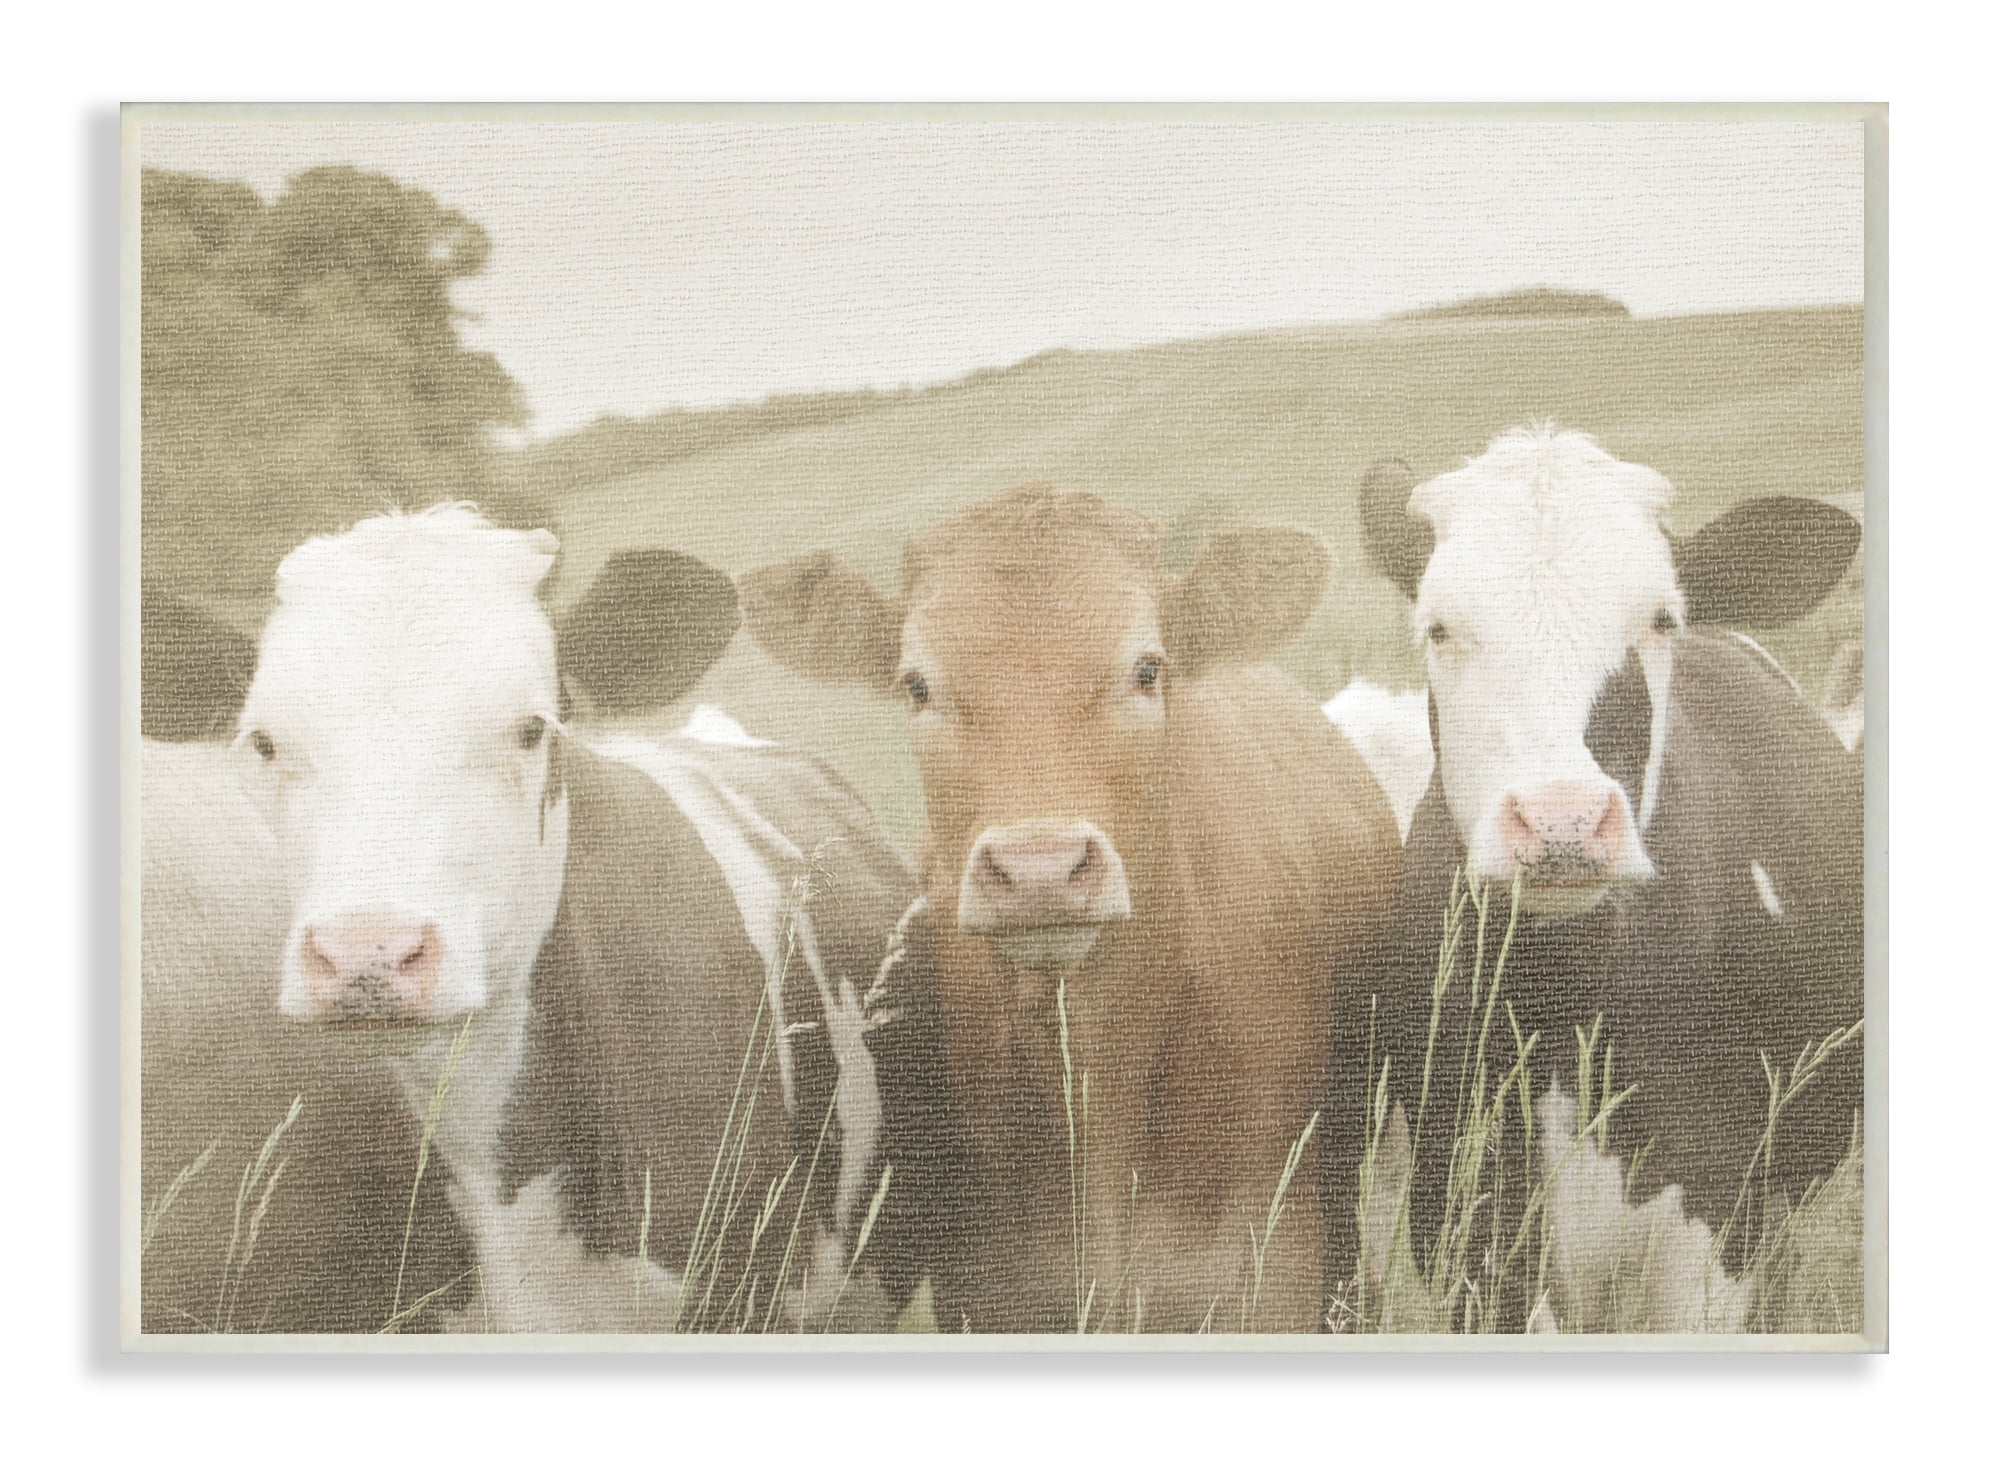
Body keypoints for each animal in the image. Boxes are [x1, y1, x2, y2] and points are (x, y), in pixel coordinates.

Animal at [1338, 428, 1864, 1331]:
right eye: (1438, 627)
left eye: (1661, 618)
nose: (1563, 822)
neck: (1571, 996)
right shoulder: (1468, 1211)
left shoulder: (1715, 1224)